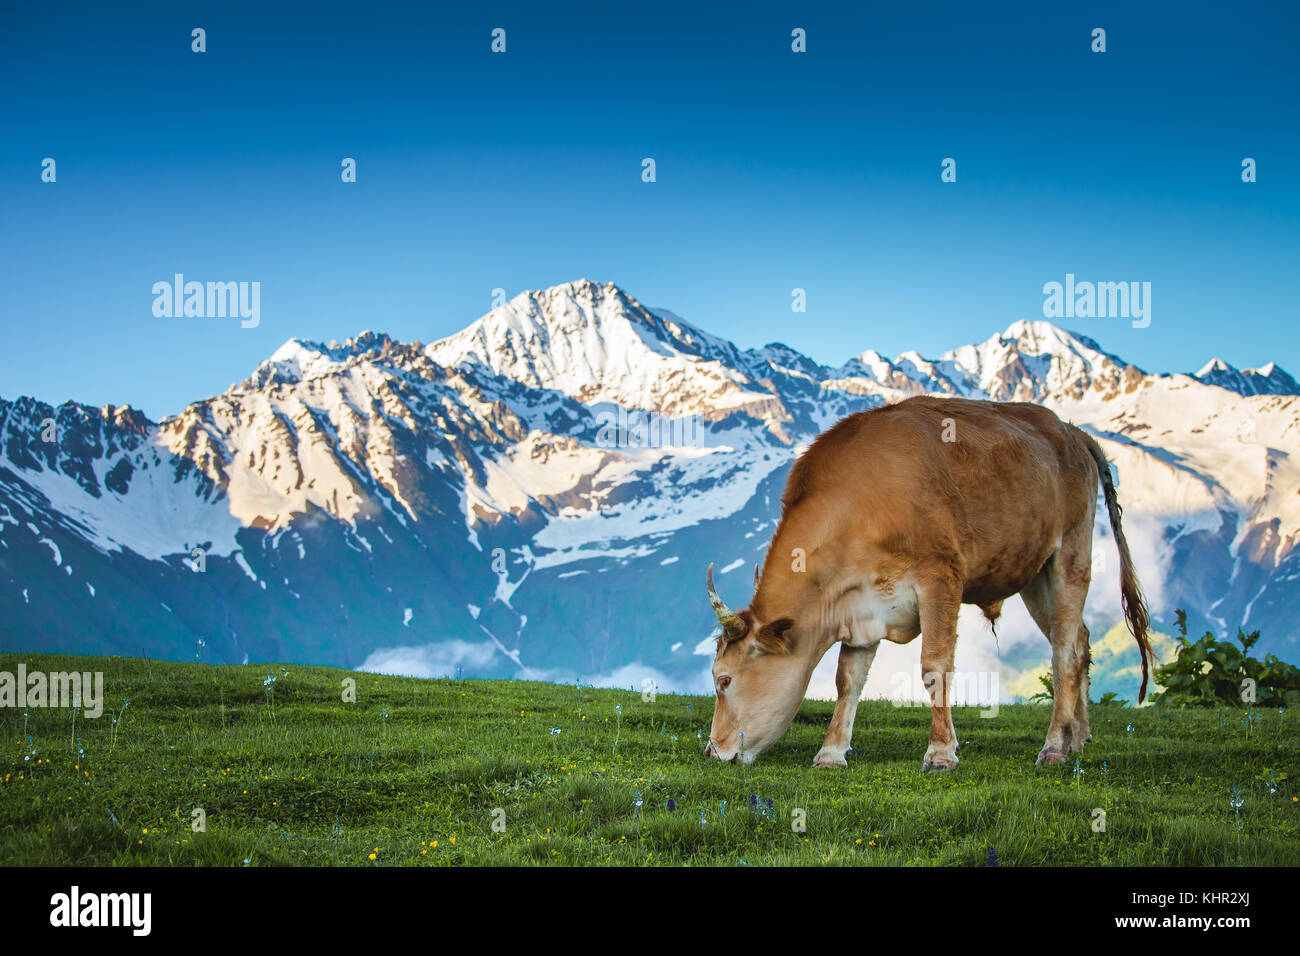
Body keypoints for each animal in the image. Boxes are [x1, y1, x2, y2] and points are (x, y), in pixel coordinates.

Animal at [702, 395, 1152, 771]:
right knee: (1079, 641)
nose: (711, 750)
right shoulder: (861, 609)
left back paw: (1056, 746)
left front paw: (940, 752)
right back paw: (1079, 737)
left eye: (724, 679)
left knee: (1065, 654)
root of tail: (1072, 431)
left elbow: (934, 668)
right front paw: (831, 752)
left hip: (1070, 555)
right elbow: (847, 680)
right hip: (1035, 575)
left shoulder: (940, 578)